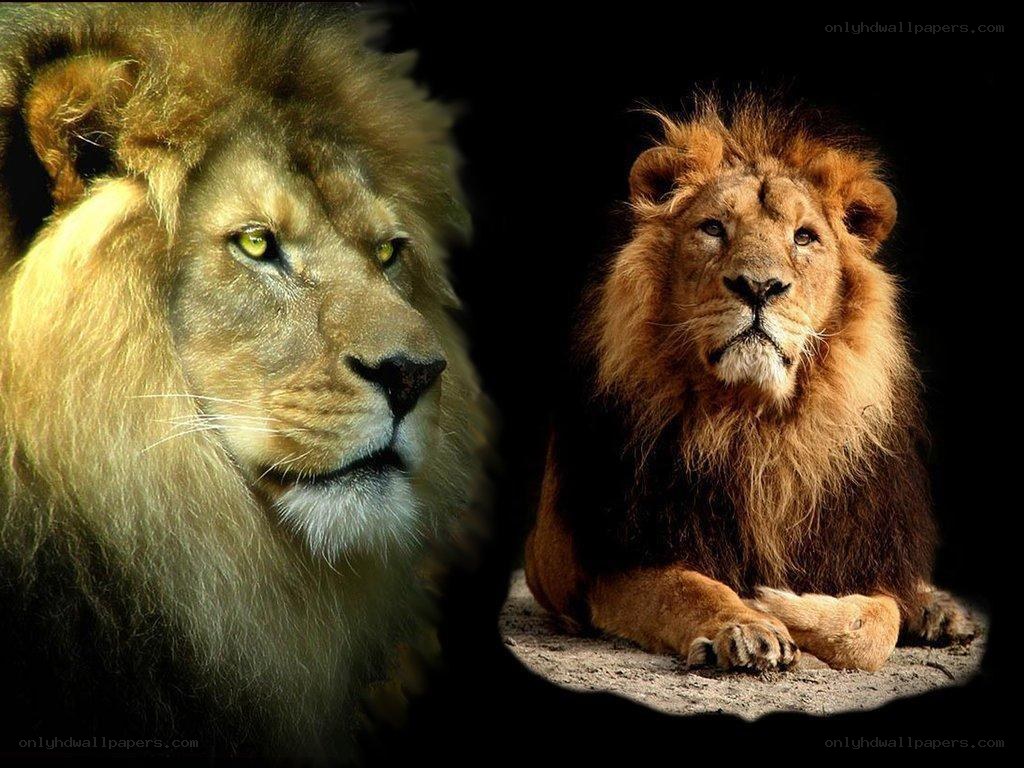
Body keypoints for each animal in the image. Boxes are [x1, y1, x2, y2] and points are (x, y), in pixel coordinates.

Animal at [525, 96, 974, 674]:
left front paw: (777, 601)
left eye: (804, 237)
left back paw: (938, 609)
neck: (753, 424)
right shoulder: (600, 563)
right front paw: (748, 622)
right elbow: (687, 587)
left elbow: (877, 621)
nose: (758, 286)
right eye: (714, 228)